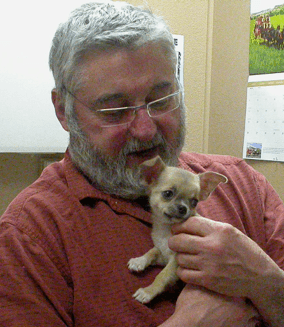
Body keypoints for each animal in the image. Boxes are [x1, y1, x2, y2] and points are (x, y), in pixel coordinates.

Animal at [127, 156, 227, 304]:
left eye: (194, 202)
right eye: (168, 193)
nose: (183, 208)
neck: (166, 229)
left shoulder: (176, 262)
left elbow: (162, 275)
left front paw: (148, 291)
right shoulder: (163, 254)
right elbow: (152, 251)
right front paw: (139, 260)